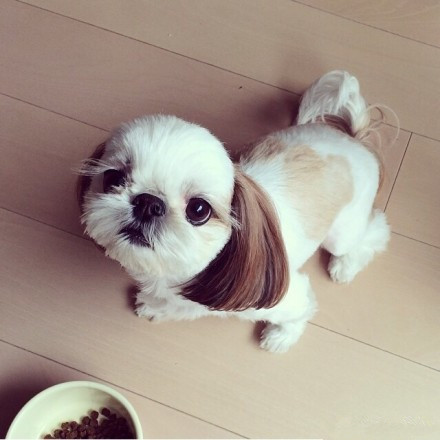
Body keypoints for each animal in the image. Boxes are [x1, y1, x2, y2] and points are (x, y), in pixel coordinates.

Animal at [80, 71, 391, 353]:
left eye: (199, 209)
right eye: (113, 178)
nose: (148, 202)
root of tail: (354, 139)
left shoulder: (284, 296)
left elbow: (301, 310)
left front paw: (281, 337)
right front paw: (157, 306)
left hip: (343, 231)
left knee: (374, 231)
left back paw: (345, 265)